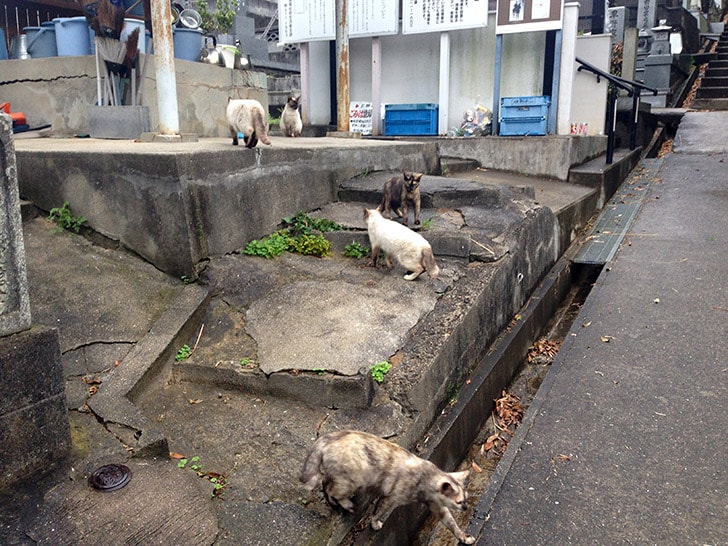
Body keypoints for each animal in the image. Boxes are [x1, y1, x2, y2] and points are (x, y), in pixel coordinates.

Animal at [298, 432, 474, 540]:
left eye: (466, 499)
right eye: (459, 501)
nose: (465, 507)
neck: (425, 480)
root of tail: (328, 438)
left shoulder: (437, 506)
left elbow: (451, 523)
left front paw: (463, 537)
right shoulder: (389, 498)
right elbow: (377, 512)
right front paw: (374, 524)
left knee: (325, 483)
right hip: (351, 480)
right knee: (329, 488)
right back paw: (346, 505)